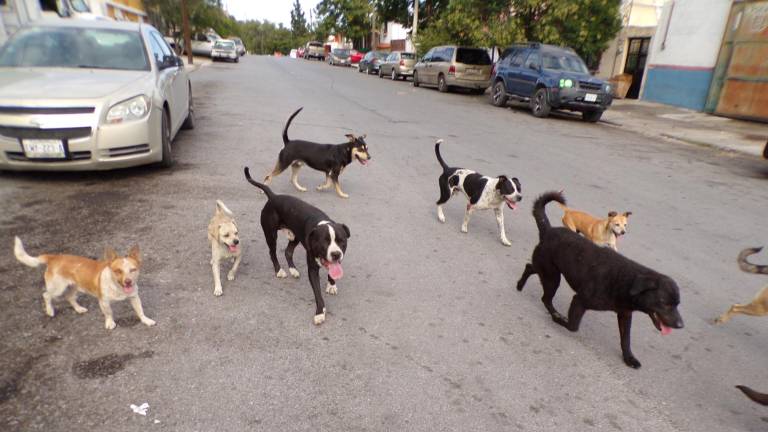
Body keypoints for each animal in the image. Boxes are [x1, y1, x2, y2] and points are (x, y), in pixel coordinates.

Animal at [13, 238, 154, 330]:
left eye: (133, 270)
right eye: (118, 271)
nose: (128, 281)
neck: (117, 287)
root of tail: (54, 257)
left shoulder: (134, 297)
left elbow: (140, 310)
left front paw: (146, 320)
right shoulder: (103, 302)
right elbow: (109, 313)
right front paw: (110, 323)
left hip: (74, 287)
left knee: (69, 297)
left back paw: (79, 309)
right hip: (58, 288)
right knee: (46, 295)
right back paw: (50, 311)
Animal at [246, 166, 352, 324]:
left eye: (342, 241)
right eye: (324, 242)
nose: (335, 254)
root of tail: (273, 197)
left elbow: (333, 270)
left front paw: (331, 284)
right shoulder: (312, 269)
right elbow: (317, 293)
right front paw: (320, 312)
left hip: (295, 236)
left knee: (288, 251)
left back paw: (293, 270)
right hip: (271, 234)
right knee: (272, 252)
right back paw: (279, 270)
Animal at [516, 191, 684, 366]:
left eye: (677, 304)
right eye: (664, 303)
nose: (681, 325)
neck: (626, 280)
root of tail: (548, 230)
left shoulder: (625, 315)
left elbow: (626, 340)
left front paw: (629, 358)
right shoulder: (580, 300)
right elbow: (572, 326)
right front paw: (560, 321)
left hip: (548, 271)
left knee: (530, 268)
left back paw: (520, 285)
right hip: (552, 277)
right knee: (545, 298)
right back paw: (555, 314)